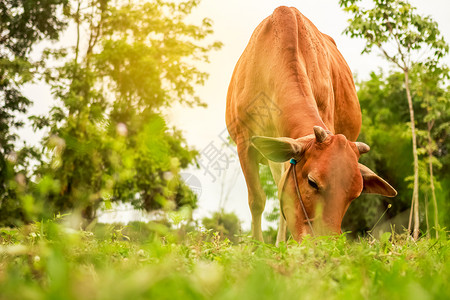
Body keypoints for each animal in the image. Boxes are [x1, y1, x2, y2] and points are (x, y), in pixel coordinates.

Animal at [227, 6, 396, 244]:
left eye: (354, 195)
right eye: (312, 182)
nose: (326, 243)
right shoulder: (244, 143)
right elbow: (257, 200)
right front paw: (256, 247)